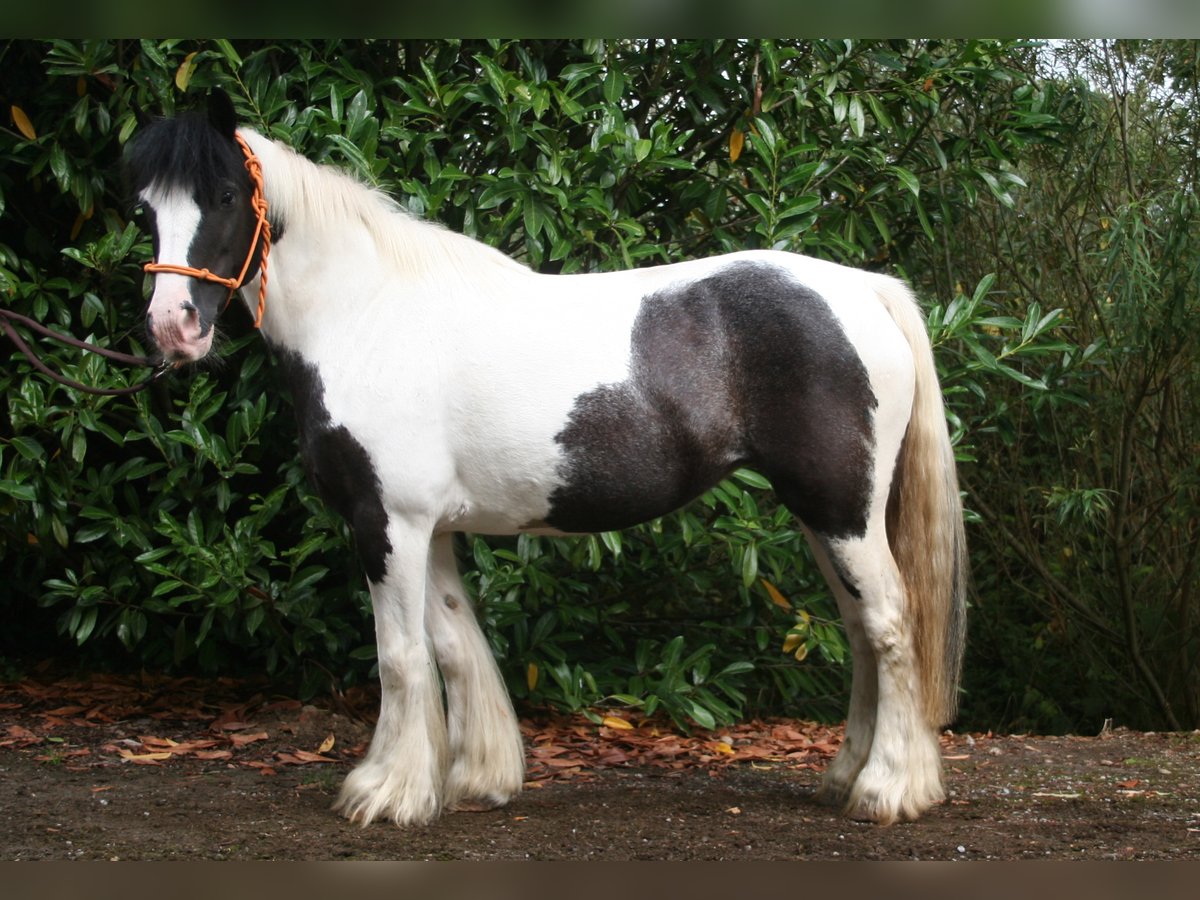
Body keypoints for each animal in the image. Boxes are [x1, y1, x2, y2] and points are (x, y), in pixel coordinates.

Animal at [124, 93, 964, 830]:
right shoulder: (429, 527)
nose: (173, 328)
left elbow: (400, 657)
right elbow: (454, 646)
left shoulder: (386, 521)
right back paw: (847, 775)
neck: (368, 316)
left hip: (840, 510)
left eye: (224, 195)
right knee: (860, 629)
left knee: (889, 624)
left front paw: (386, 794)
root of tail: (866, 290)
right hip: (828, 516)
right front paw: (473, 780)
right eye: (144, 209)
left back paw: (887, 789)